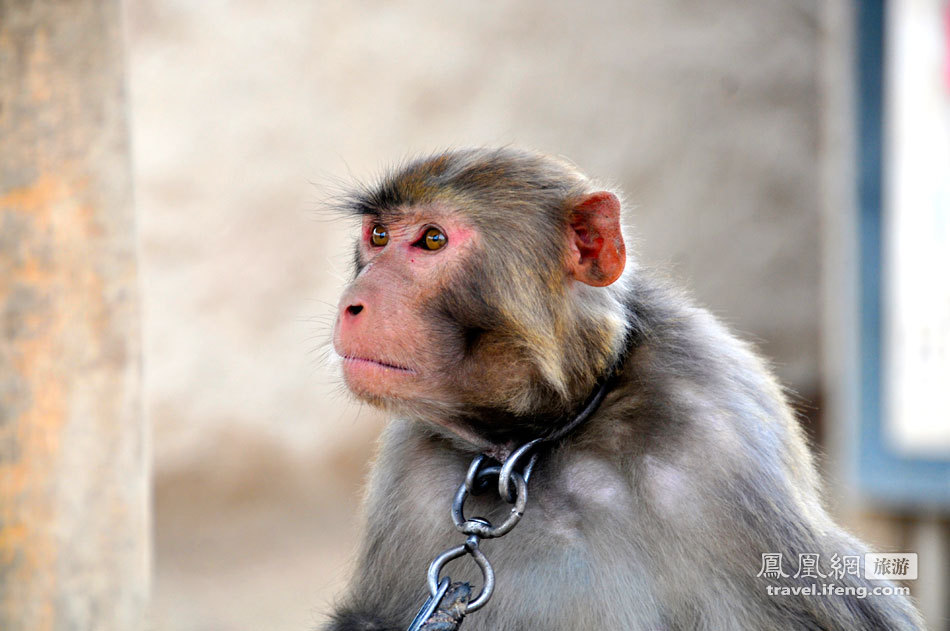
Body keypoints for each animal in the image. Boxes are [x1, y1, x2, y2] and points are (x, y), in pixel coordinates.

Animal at [326, 149, 924, 631]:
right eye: (378, 236)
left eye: (432, 240)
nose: (353, 302)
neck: (544, 443)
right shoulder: (411, 473)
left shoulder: (718, 443)